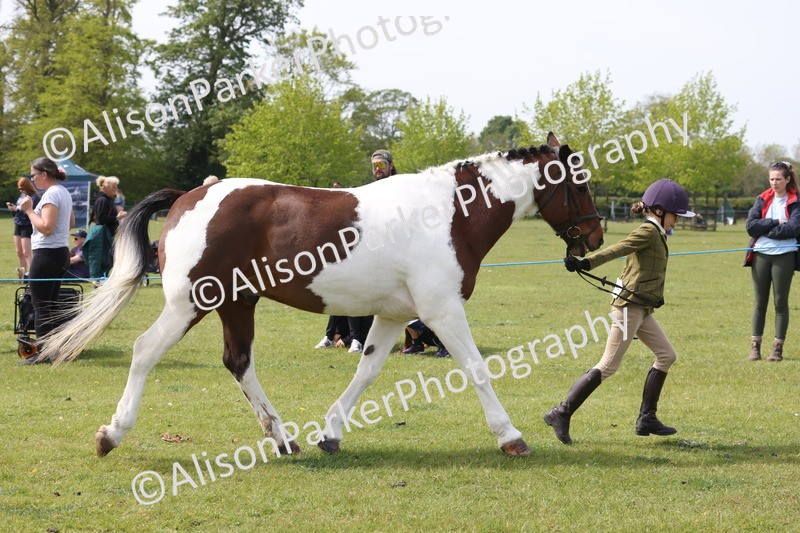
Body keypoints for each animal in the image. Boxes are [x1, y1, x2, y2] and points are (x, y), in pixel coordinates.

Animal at [41, 133, 604, 458]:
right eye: (578, 183)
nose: (595, 238)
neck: (450, 214)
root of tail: (188, 196)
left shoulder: (394, 317)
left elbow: (367, 372)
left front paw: (330, 434)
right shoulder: (441, 310)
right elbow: (477, 369)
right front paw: (511, 438)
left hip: (237, 304)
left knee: (239, 362)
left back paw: (284, 438)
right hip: (191, 303)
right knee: (145, 351)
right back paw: (112, 434)